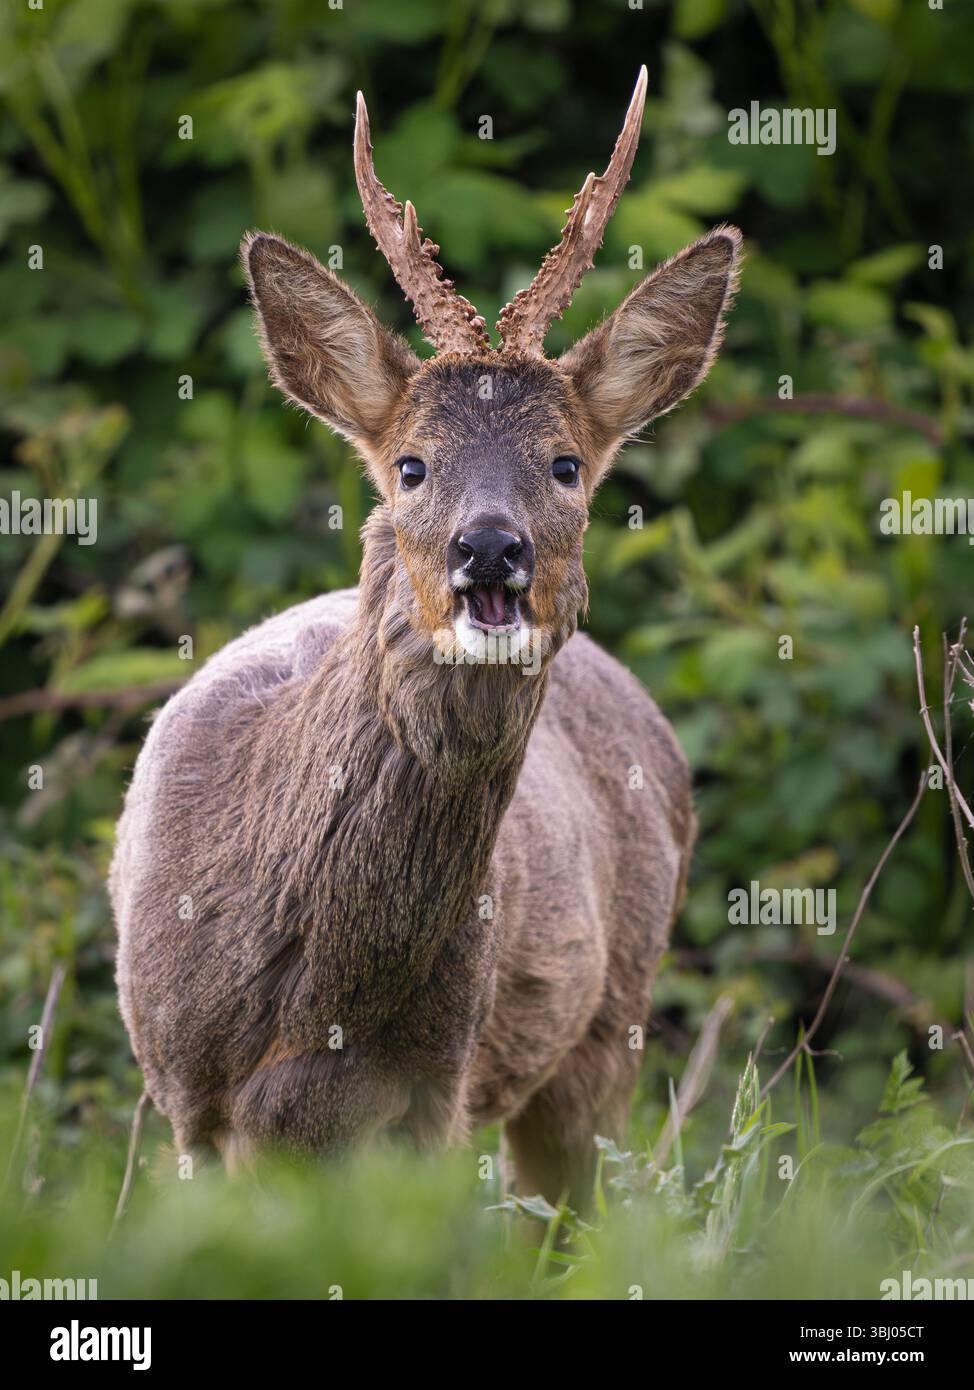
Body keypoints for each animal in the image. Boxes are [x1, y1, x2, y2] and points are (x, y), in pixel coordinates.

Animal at [110, 67, 741, 1205]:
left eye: (565, 464)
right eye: (409, 464)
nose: (488, 548)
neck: (326, 994)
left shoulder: (439, 1087)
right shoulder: (184, 1094)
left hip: (608, 1022)